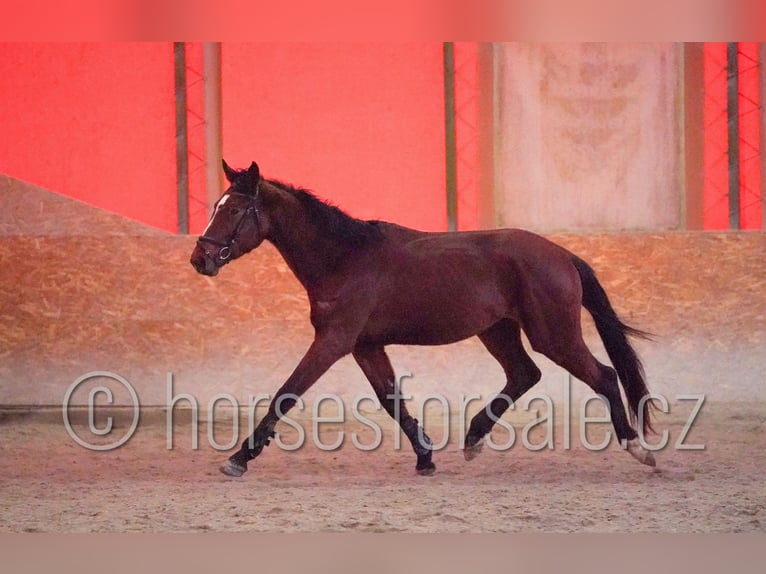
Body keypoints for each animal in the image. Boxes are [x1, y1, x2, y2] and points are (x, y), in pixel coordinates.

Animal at [190, 160, 657, 477]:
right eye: (216, 206)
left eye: (234, 211)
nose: (200, 259)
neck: (344, 257)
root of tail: (562, 255)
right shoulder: (365, 345)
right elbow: (390, 399)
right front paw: (425, 457)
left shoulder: (334, 341)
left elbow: (287, 392)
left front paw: (238, 458)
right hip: (498, 331)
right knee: (525, 373)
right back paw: (472, 439)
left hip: (553, 334)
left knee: (603, 375)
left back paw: (638, 447)